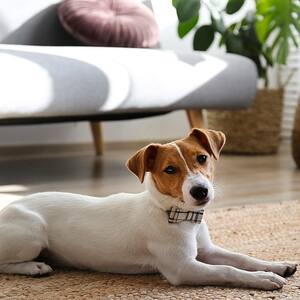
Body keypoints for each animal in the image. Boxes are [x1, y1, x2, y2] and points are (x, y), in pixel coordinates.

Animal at [0, 127, 296, 290]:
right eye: (170, 169)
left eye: (202, 158)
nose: (200, 191)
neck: (175, 214)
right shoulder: (183, 268)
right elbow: (227, 270)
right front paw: (264, 279)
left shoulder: (207, 251)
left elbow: (241, 258)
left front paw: (276, 266)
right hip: (33, 234)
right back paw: (34, 268)